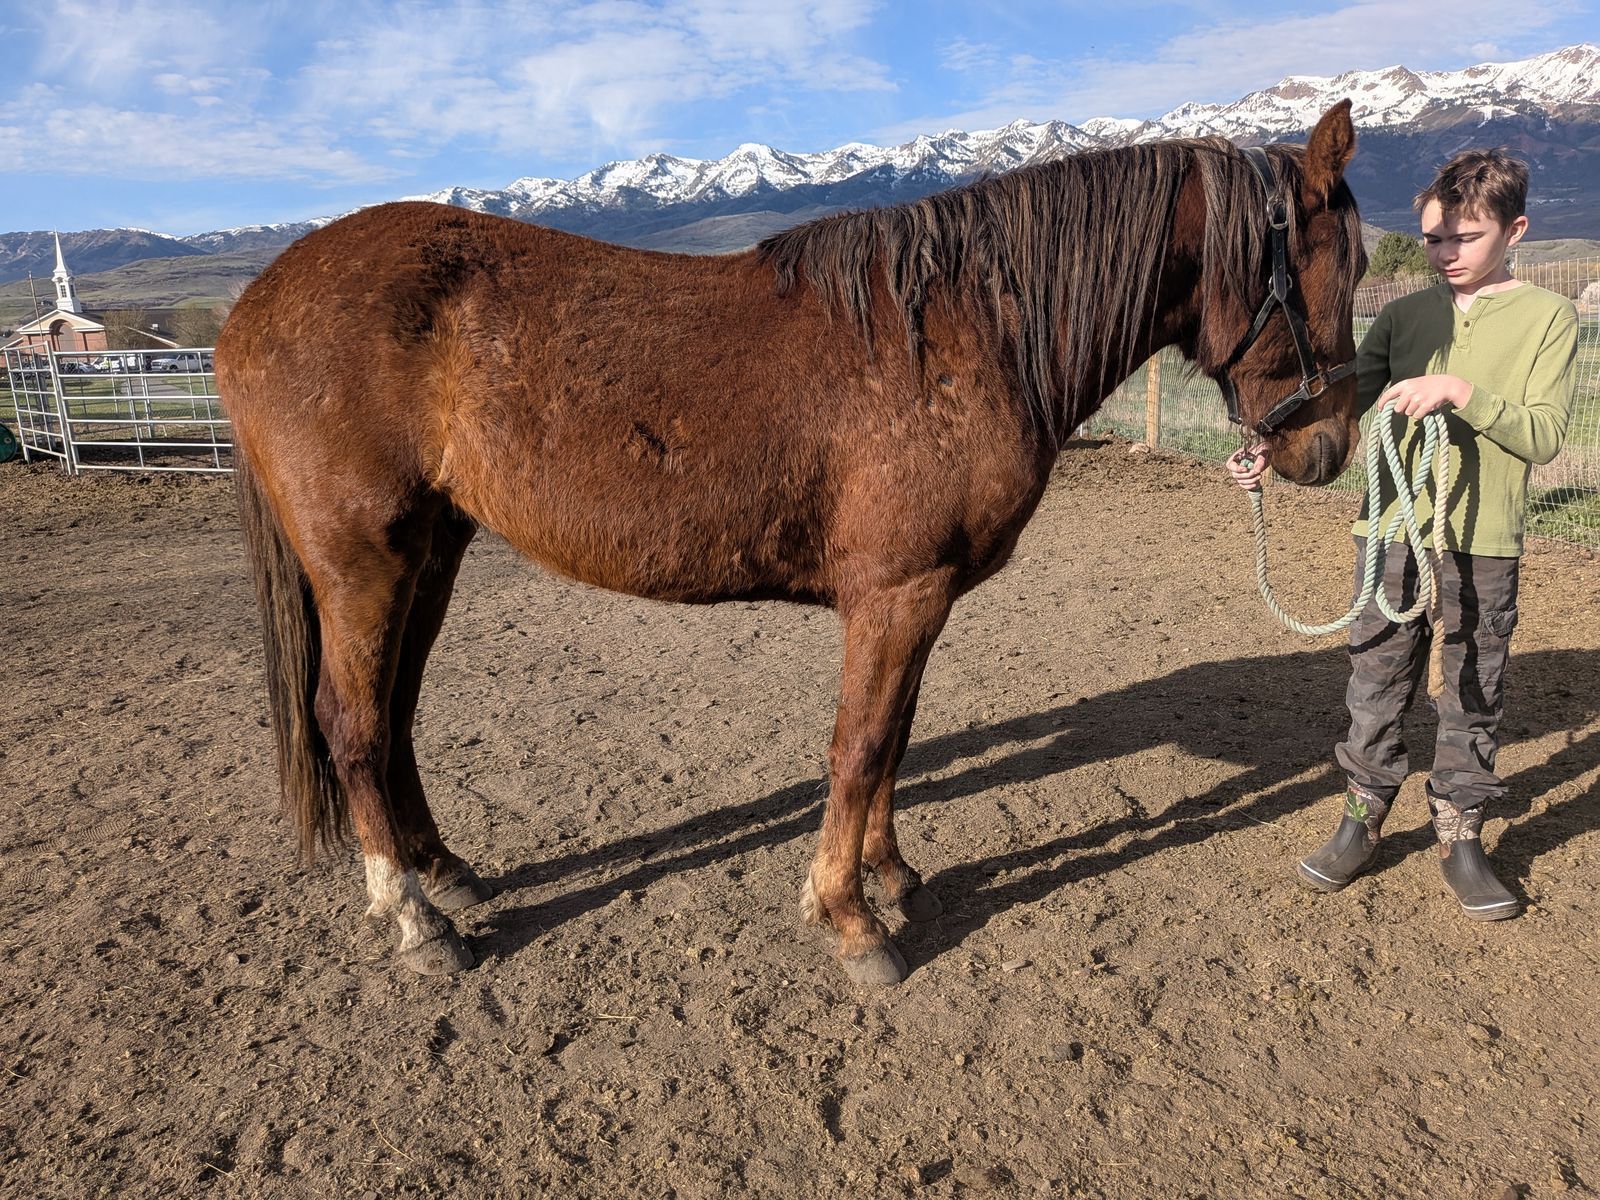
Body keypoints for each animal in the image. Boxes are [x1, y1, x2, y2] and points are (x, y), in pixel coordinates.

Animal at [217, 101, 1366, 987]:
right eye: (1338, 263)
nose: (1327, 449)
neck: (962, 330)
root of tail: (255, 304)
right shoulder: (895, 594)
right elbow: (858, 746)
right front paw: (851, 923)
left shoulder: (921, 597)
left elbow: (894, 739)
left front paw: (893, 878)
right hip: (361, 562)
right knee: (351, 726)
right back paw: (415, 922)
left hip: (434, 549)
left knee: (397, 718)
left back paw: (446, 873)